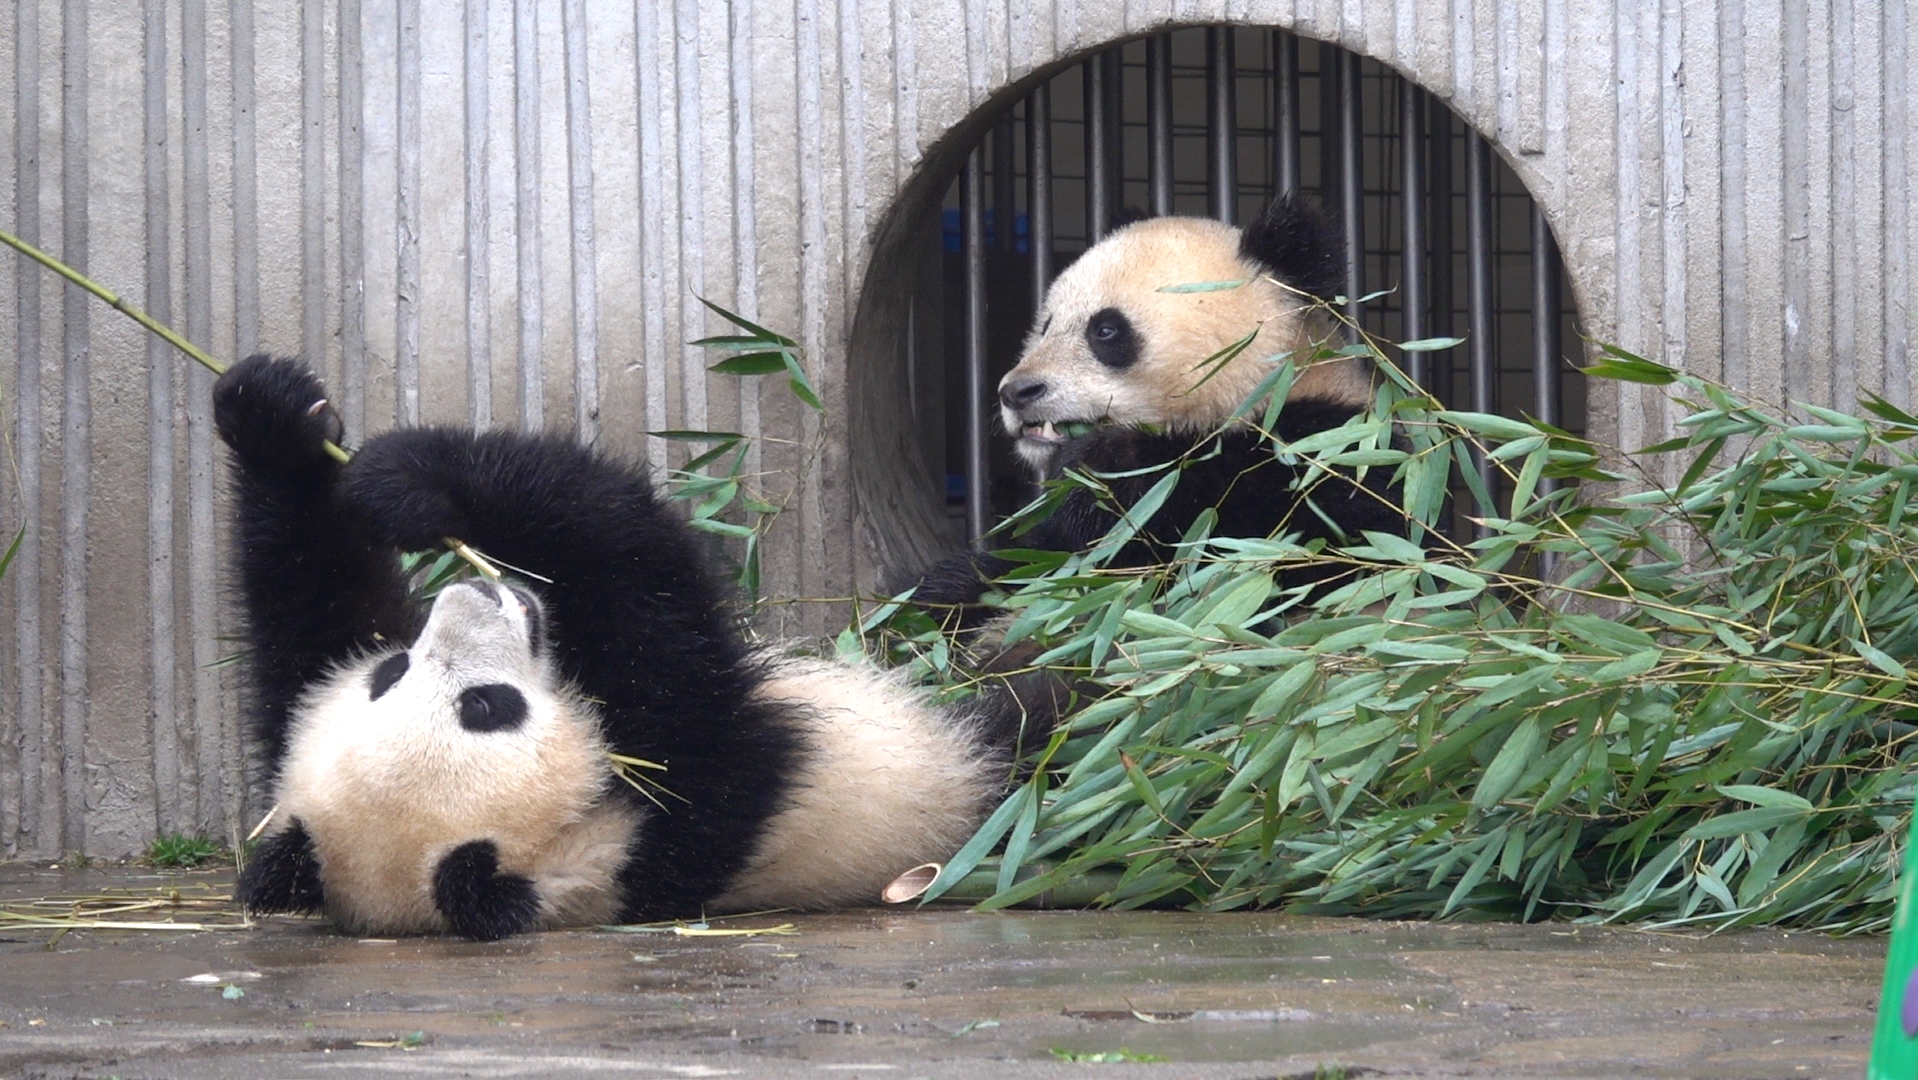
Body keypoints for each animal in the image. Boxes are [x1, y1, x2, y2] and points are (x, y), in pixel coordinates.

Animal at [220, 354, 1020, 939]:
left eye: (389, 671)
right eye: (486, 707)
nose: (473, 595)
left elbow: (312, 607)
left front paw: (286, 424)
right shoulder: (689, 797)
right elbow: (640, 582)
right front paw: (438, 480)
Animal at [912, 194, 1411, 625]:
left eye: (1106, 330)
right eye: (1047, 324)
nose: (1017, 392)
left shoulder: (1334, 452)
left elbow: (1305, 544)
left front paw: (1100, 467)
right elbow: (1011, 567)